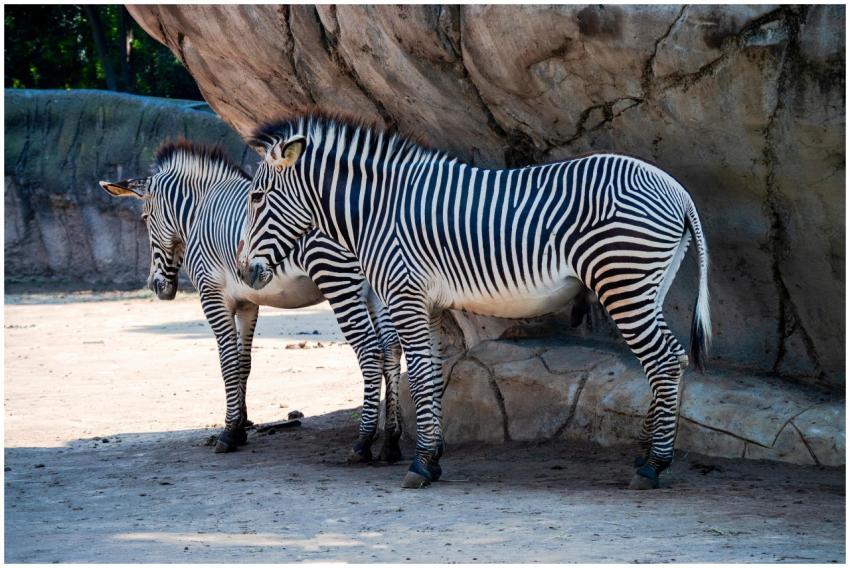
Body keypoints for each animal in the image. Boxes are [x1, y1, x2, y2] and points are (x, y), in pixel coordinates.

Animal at [100, 139, 403, 463]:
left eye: (145, 218)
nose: (157, 287)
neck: (199, 211)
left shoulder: (212, 295)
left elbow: (227, 362)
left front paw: (228, 432)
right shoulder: (247, 302)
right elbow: (244, 362)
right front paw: (241, 426)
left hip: (337, 279)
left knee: (370, 351)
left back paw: (363, 441)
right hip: (378, 287)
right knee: (391, 349)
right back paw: (391, 441)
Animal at [237, 113, 710, 491]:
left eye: (257, 197)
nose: (245, 272)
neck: (377, 211)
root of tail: (678, 191)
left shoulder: (405, 296)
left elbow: (421, 375)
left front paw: (420, 464)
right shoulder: (424, 303)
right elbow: (430, 375)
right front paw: (432, 458)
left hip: (623, 281)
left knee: (664, 361)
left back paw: (653, 466)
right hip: (649, 285)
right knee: (670, 360)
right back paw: (646, 452)